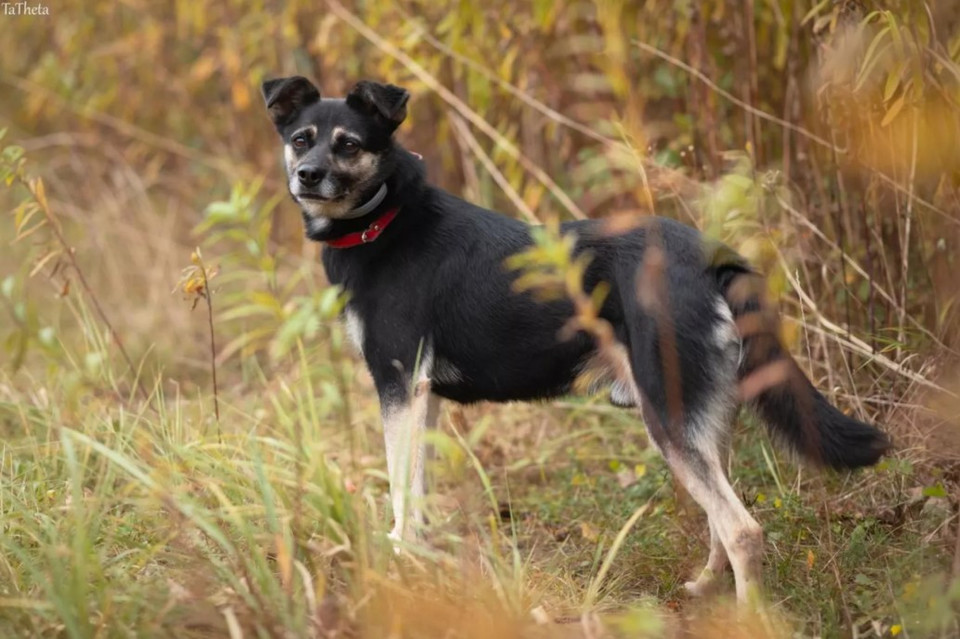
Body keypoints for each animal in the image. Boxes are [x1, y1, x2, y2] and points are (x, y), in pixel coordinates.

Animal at [258, 77, 888, 604]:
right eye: (301, 139)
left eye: (348, 144)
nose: (307, 175)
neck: (384, 218)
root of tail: (712, 258)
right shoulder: (421, 395)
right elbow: (418, 493)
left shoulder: (397, 384)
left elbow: (399, 496)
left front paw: (398, 569)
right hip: (700, 411)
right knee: (721, 517)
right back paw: (706, 588)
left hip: (666, 413)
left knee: (743, 530)